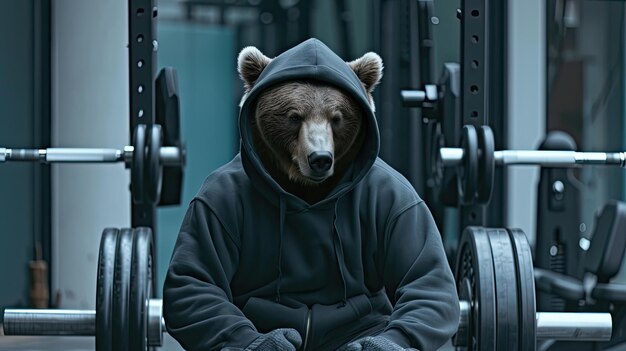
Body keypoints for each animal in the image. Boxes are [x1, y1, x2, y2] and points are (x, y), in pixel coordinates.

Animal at [163, 38, 458, 351]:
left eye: (337, 118)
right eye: (293, 116)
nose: (320, 158)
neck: (307, 191)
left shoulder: (395, 202)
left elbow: (425, 277)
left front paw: (377, 342)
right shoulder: (217, 203)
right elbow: (196, 280)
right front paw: (271, 340)